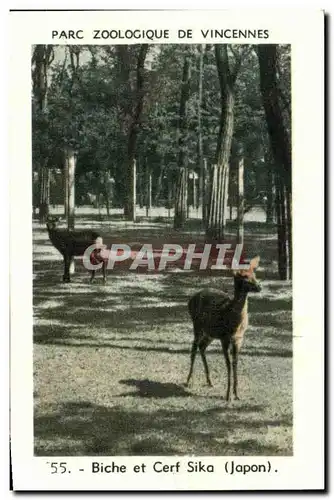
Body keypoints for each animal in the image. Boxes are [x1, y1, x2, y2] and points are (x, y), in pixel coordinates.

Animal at [185, 256, 260, 400]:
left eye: (254, 274)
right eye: (245, 276)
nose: (259, 286)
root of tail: (189, 300)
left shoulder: (238, 339)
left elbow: (235, 363)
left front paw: (237, 394)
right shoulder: (225, 338)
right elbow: (228, 364)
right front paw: (228, 395)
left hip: (210, 333)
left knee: (202, 346)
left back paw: (209, 381)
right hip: (197, 325)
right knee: (194, 348)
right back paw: (188, 380)